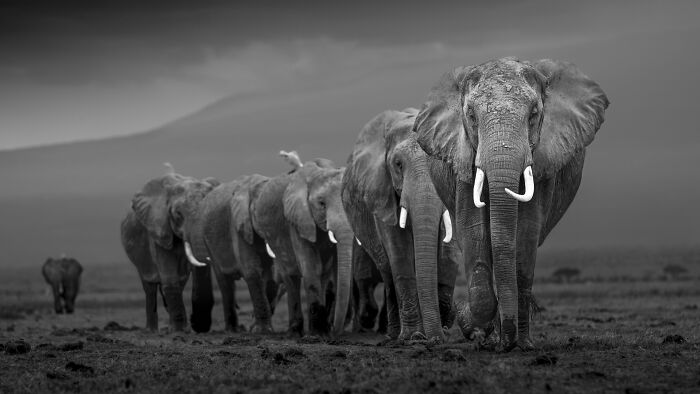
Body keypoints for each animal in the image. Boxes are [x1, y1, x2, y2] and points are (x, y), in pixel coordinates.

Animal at [119, 166, 219, 332]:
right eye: (178, 214)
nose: (197, 324)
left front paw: (185, 329)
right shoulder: (158, 227)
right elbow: (169, 278)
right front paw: (179, 332)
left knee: (179, 282)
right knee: (150, 287)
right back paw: (152, 330)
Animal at [187, 173, 284, 332]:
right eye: (259, 214)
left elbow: (273, 273)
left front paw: (260, 328)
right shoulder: (238, 225)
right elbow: (252, 270)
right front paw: (262, 331)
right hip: (207, 240)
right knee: (225, 282)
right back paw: (233, 329)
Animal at [342, 107, 462, 338]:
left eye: (443, 162)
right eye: (398, 165)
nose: (437, 338)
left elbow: (447, 250)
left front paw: (442, 323)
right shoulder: (382, 190)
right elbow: (399, 249)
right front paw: (414, 337)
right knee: (388, 274)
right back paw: (392, 333)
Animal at [412, 56, 608, 350]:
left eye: (534, 114)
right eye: (471, 116)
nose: (508, 343)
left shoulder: (544, 161)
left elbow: (525, 235)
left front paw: (516, 343)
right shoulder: (462, 158)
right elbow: (473, 229)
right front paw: (471, 323)